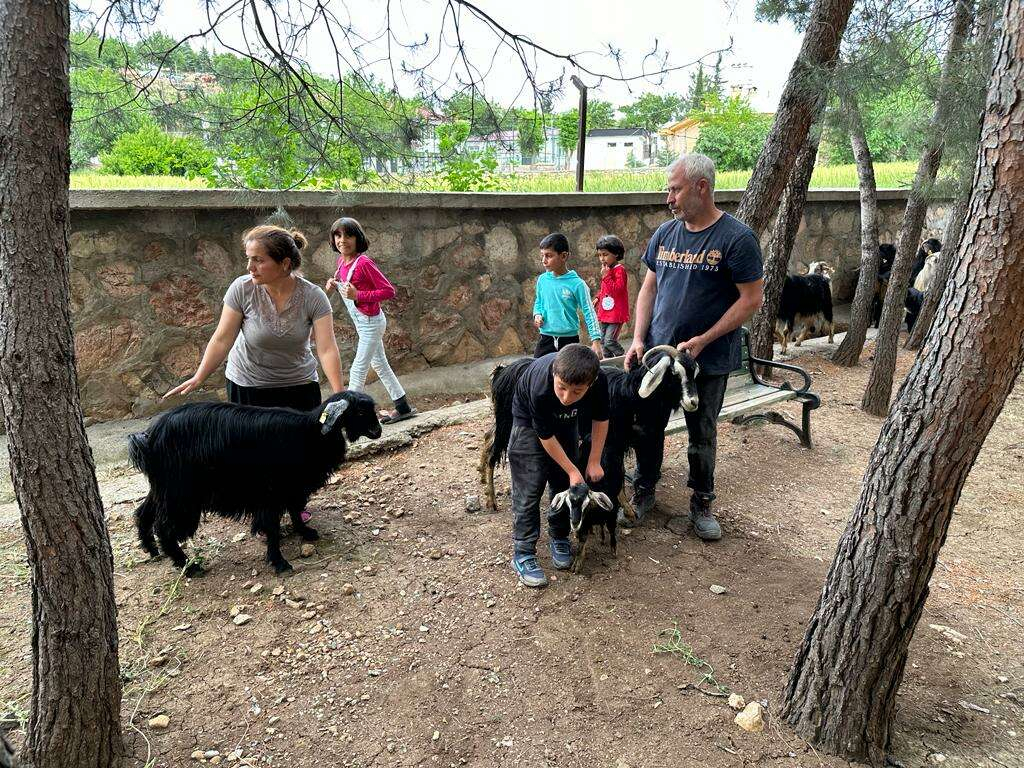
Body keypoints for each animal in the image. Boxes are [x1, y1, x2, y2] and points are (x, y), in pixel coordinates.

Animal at [130, 393, 382, 573]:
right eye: (360, 411)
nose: (378, 431)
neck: (310, 432)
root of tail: (148, 437)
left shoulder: (292, 487)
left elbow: (294, 510)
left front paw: (305, 532)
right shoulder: (271, 491)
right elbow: (272, 526)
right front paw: (279, 562)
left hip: (165, 487)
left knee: (144, 513)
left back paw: (152, 550)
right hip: (181, 493)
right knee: (165, 527)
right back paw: (188, 566)